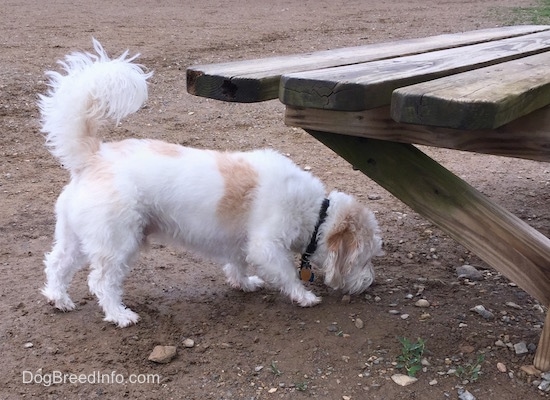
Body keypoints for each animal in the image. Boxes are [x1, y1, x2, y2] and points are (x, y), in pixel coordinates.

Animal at [38, 39, 384, 328]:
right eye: (365, 258)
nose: (370, 283)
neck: (314, 212)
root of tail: (93, 158)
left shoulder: (240, 242)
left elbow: (237, 264)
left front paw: (243, 283)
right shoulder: (266, 246)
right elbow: (286, 274)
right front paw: (304, 296)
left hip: (76, 237)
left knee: (57, 264)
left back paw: (59, 298)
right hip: (116, 243)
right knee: (101, 282)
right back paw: (118, 314)